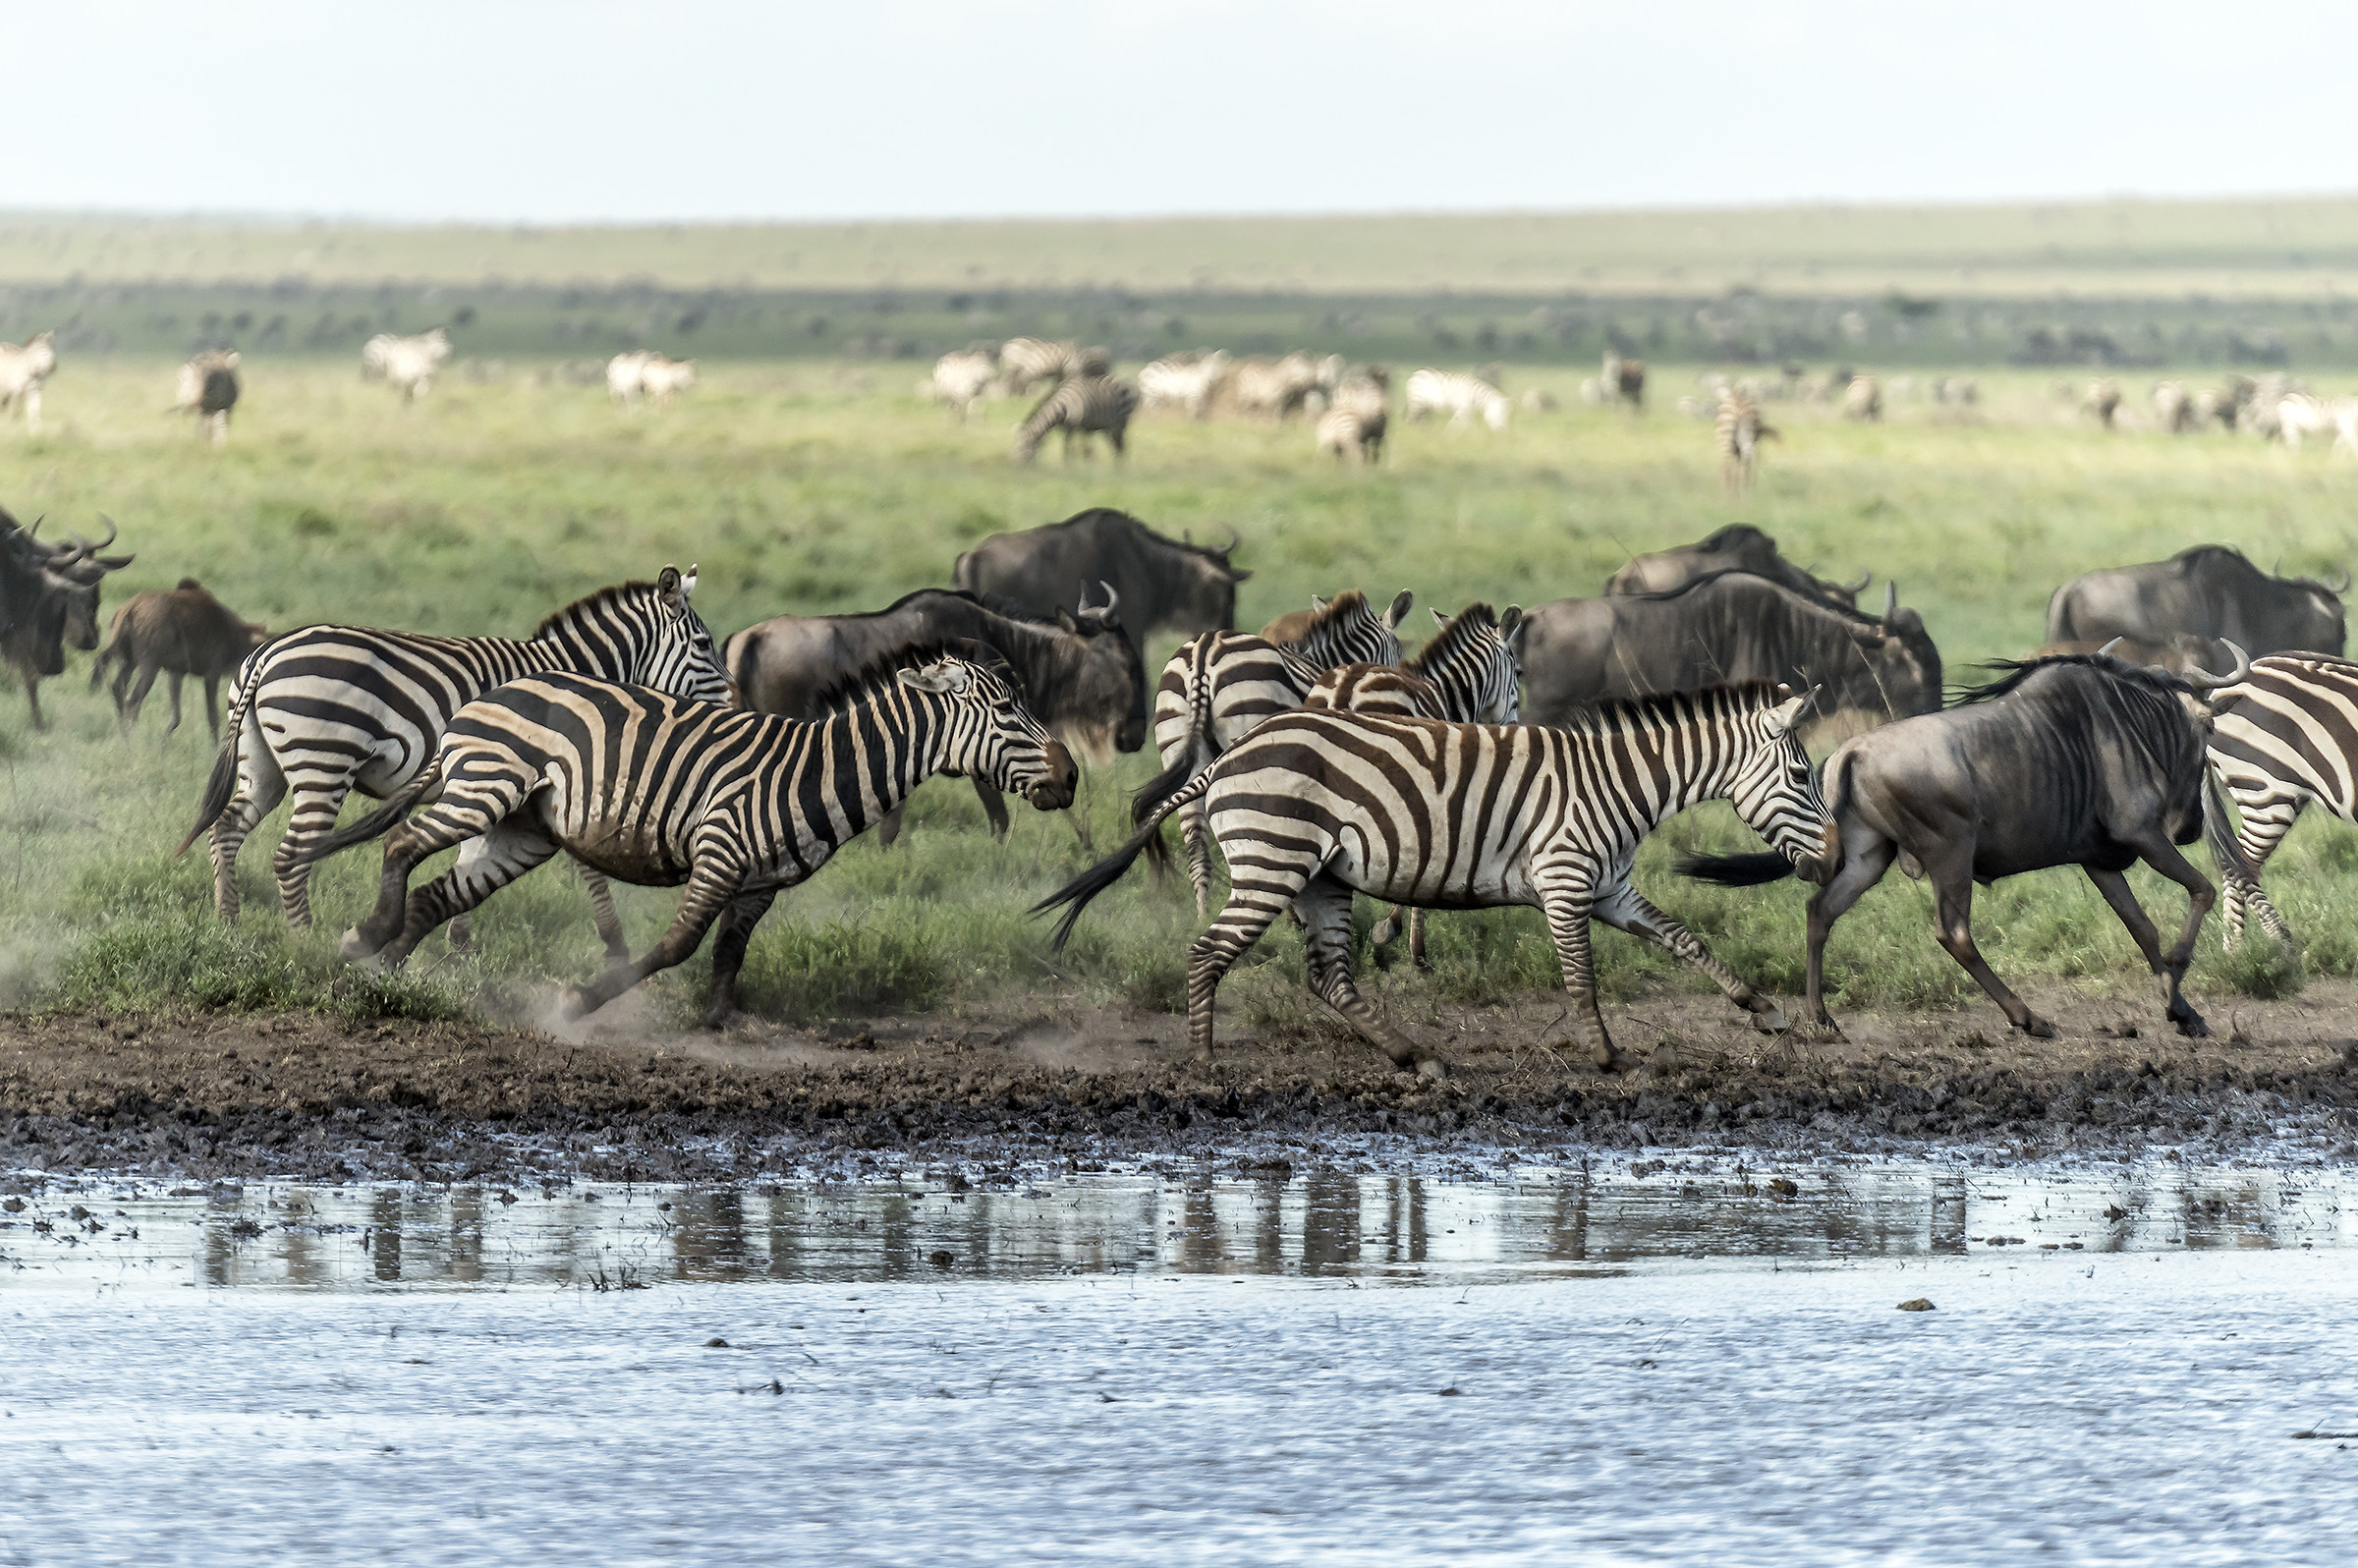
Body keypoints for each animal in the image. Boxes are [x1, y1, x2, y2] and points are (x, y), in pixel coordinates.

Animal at [176, 565, 732, 953]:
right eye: (704, 644)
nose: (734, 704)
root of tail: (267, 652)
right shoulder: (557, 774)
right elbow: (586, 867)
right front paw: (615, 944)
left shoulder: (495, 780)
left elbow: (471, 857)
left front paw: (458, 942)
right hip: (324, 763)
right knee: (291, 855)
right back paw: (304, 940)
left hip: (263, 764)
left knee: (226, 829)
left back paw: (229, 922)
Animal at [295, 651, 1074, 1026]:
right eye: (1006, 711)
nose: (1070, 776)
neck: (821, 771)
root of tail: (484, 698)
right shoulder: (720, 851)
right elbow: (677, 945)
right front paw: (582, 1002)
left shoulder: (762, 882)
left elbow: (729, 953)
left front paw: (725, 1020)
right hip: (486, 788)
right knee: (402, 848)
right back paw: (369, 936)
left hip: (525, 831)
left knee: (437, 894)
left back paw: (388, 971)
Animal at [1038, 683, 1836, 1077]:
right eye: (1803, 777)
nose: (1828, 863)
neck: (1619, 784)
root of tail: (1228, 756)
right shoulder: (1565, 879)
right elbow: (1581, 978)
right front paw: (1610, 1057)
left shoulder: (1608, 887)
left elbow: (1686, 939)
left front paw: (1766, 1011)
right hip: (1273, 862)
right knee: (1209, 953)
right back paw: (1204, 1063)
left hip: (1322, 878)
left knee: (1329, 977)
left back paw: (1413, 1056)